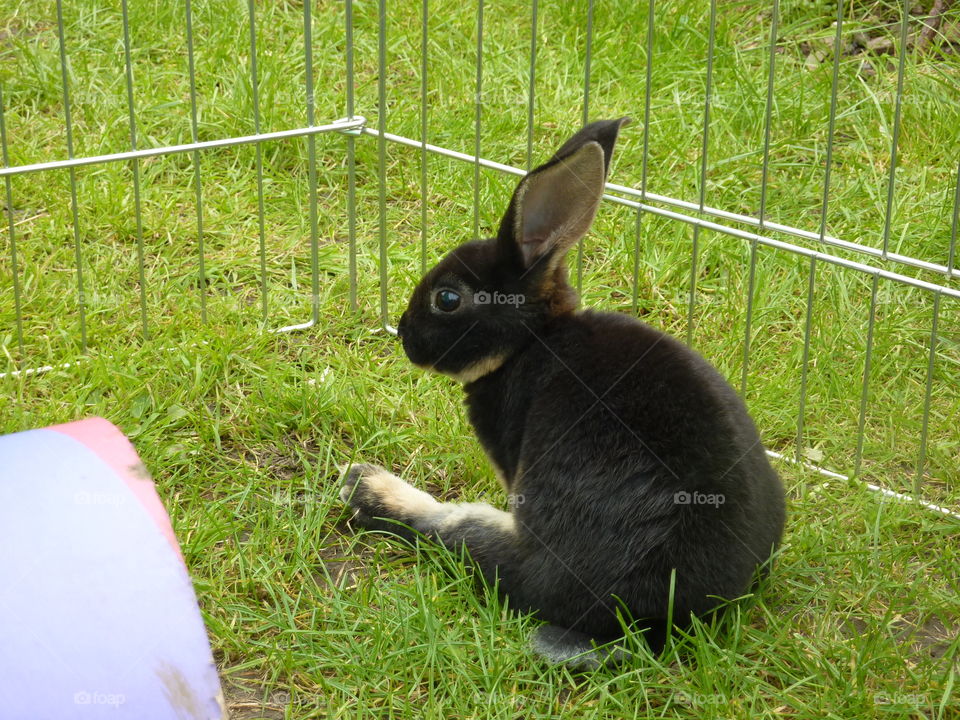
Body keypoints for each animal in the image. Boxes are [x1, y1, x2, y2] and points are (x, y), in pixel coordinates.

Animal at [344, 118, 788, 668]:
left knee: (451, 533)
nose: (405, 335)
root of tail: (656, 621)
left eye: (447, 299)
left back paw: (366, 486)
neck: (532, 342)